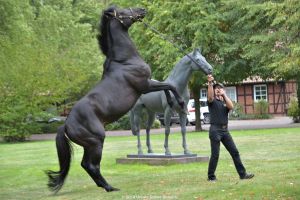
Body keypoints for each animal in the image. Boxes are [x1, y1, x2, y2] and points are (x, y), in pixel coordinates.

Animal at [45, 6, 184, 193]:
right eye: (124, 11)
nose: (142, 9)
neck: (124, 61)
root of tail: (66, 124)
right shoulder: (144, 86)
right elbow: (170, 85)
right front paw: (180, 102)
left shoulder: (148, 85)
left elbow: (167, 86)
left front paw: (171, 101)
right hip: (96, 142)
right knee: (92, 165)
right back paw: (110, 187)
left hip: (89, 145)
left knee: (85, 164)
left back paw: (104, 186)